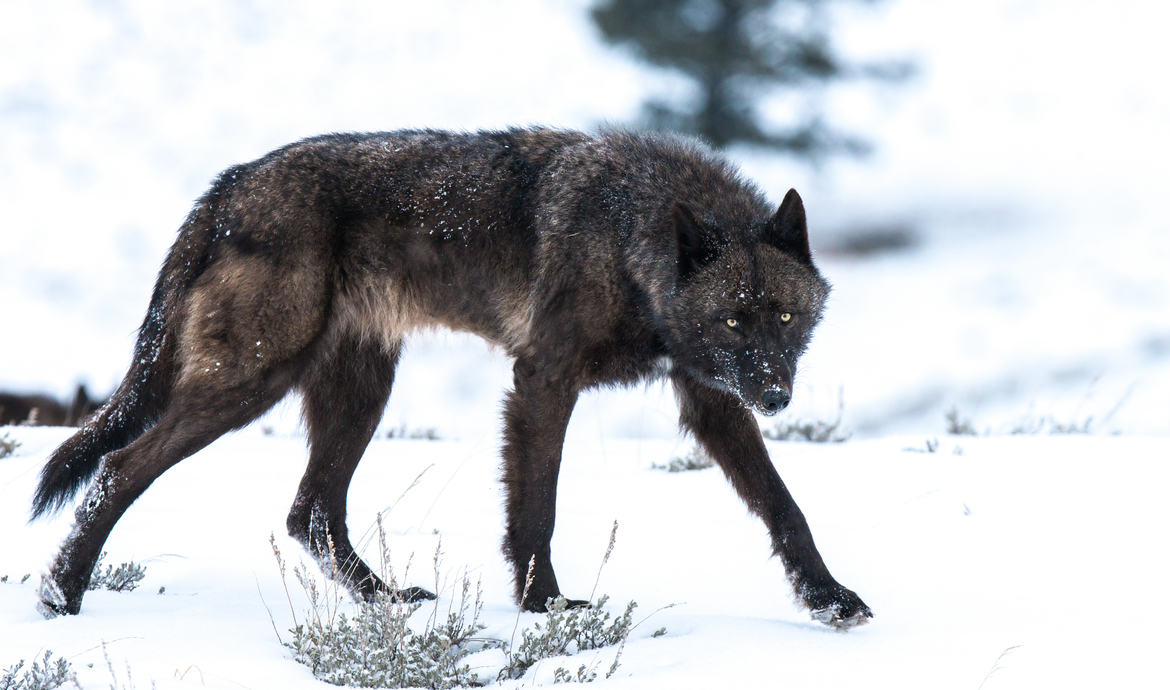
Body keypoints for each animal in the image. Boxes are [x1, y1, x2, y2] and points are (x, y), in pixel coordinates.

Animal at [31, 128, 872, 627]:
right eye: (733, 321)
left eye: (783, 317)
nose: (776, 395)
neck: (631, 238)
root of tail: (229, 184)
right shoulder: (542, 382)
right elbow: (536, 512)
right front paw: (546, 607)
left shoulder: (713, 404)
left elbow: (785, 508)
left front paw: (829, 599)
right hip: (251, 383)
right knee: (119, 467)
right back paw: (59, 597)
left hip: (360, 393)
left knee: (311, 513)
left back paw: (388, 603)